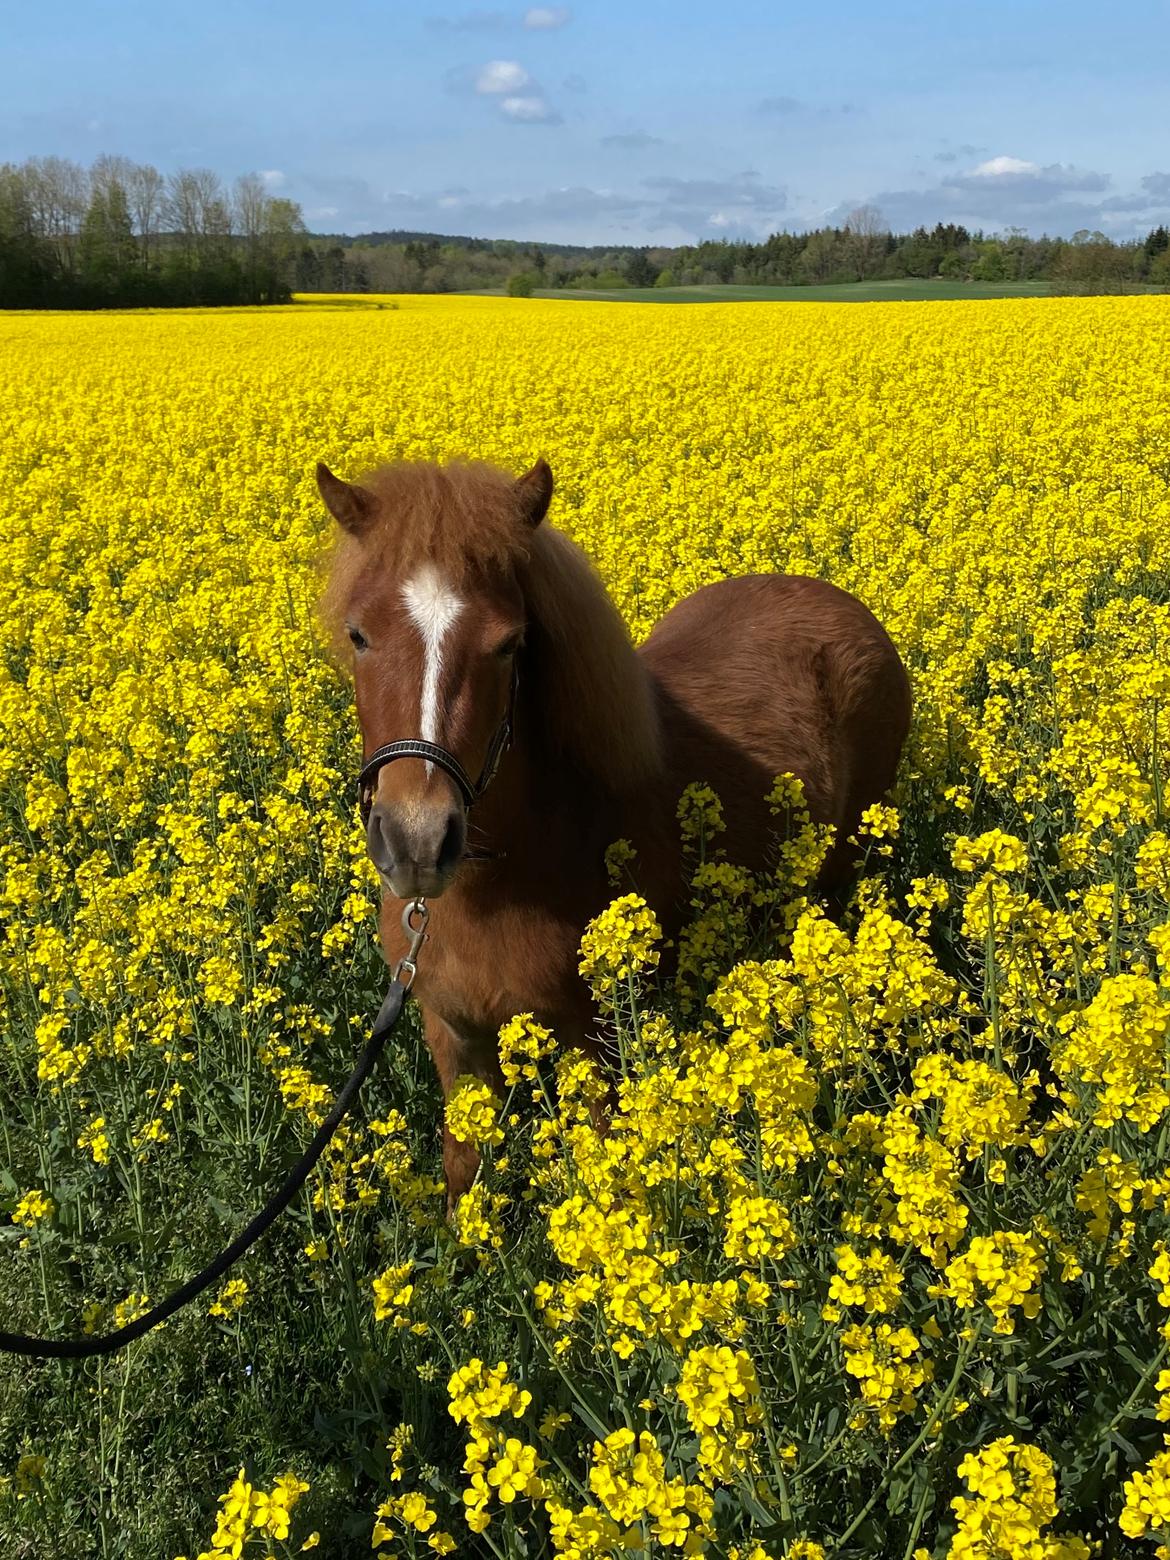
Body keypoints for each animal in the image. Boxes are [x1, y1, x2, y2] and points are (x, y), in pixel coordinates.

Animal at [321, 455, 917, 1198]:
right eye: (358, 635)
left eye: (508, 644)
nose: (418, 841)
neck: (497, 885)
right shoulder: (452, 1031)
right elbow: (465, 1166)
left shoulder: (597, 1040)